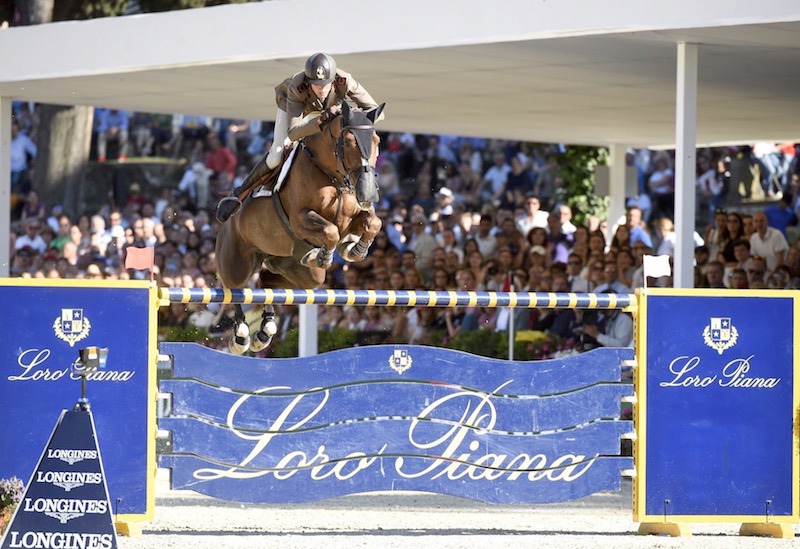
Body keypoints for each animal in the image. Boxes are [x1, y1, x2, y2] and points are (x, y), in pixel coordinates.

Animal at [216, 100, 384, 354]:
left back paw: (264, 332)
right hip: (237, 261)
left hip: (299, 271)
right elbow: (331, 231)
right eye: (348, 142)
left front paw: (354, 249)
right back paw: (241, 336)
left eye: (377, 142)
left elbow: (373, 222)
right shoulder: (300, 219)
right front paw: (325, 254)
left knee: (266, 281)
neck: (332, 176)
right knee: (234, 288)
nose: (367, 193)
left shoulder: (353, 216)